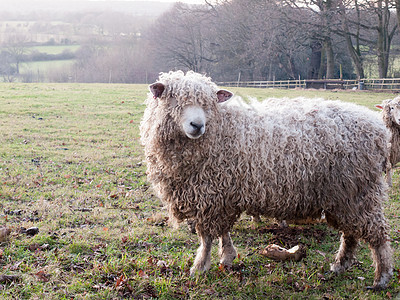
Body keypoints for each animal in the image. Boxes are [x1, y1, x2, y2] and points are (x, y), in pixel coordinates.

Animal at [141, 70, 394, 290]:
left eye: (209, 103)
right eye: (174, 99)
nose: (197, 125)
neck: (220, 128)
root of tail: (379, 132)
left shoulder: (211, 195)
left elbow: (206, 237)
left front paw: (200, 267)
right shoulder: (221, 193)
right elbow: (222, 232)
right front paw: (227, 257)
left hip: (359, 192)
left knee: (377, 235)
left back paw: (381, 278)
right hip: (345, 195)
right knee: (351, 234)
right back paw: (340, 266)